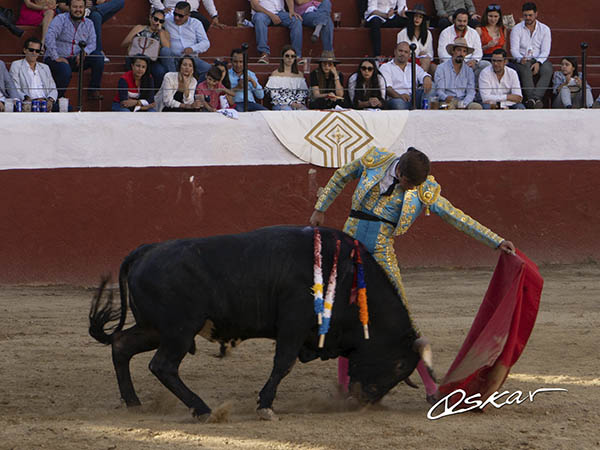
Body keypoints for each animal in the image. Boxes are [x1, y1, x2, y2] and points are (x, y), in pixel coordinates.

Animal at [89, 226, 433, 421]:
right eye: (399, 366)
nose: (363, 401)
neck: (347, 276)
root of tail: (145, 250)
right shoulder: (293, 324)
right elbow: (283, 363)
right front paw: (265, 406)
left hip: (154, 329)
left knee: (121, 346)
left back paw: (134, 403)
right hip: (178, 331)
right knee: (162, 366)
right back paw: (202, 409)